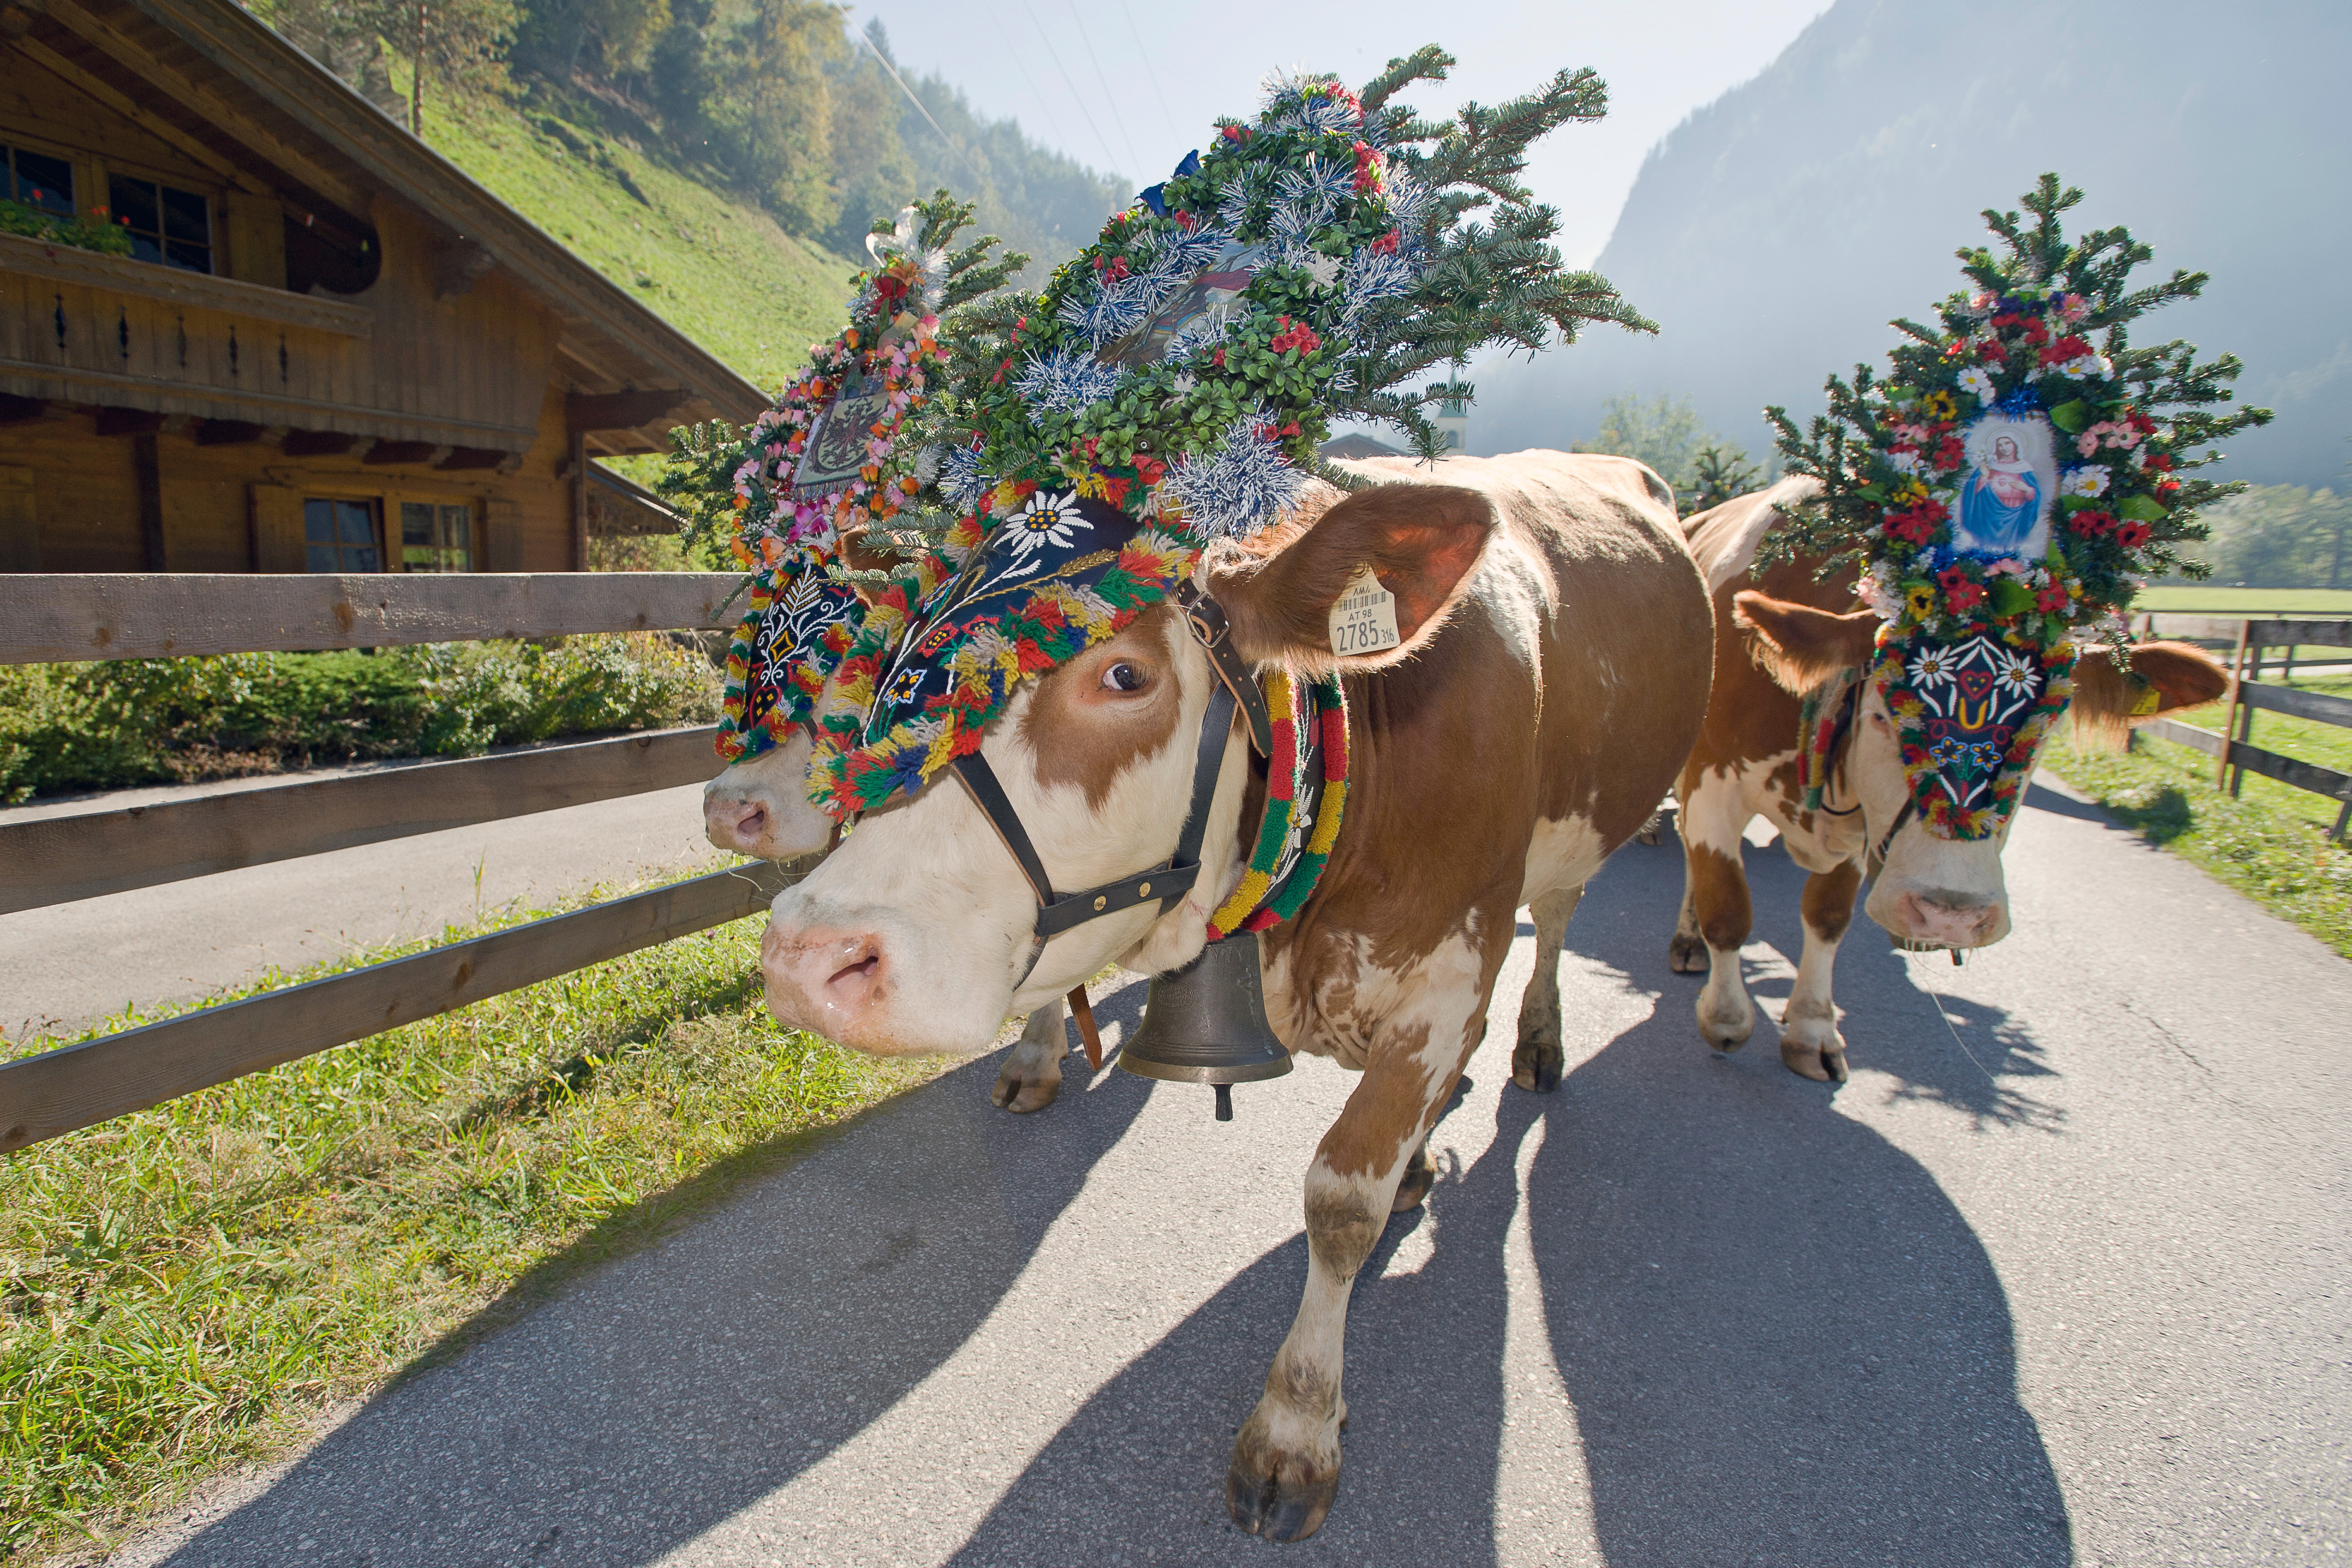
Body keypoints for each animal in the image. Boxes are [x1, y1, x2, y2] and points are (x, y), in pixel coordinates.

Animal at [756, 450, 1715, 1540]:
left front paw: (1294, 1429)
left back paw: (1538, 1044)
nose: (805, 956)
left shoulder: (1448, 975)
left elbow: (1340, 1199)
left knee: (1553, 923)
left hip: (1571, 850)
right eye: (895, 663)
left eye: (1125, 675)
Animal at [1672, 476, 2231, 1082]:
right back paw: (1689, 939)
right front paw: (1726, 1018)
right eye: (1882, 716)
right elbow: (1727, 905)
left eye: (2042, 731)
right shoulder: (1712, 782)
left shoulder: (1860, 828)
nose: (1951, 916)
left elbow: (1827, 917)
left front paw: (1813, 1029)